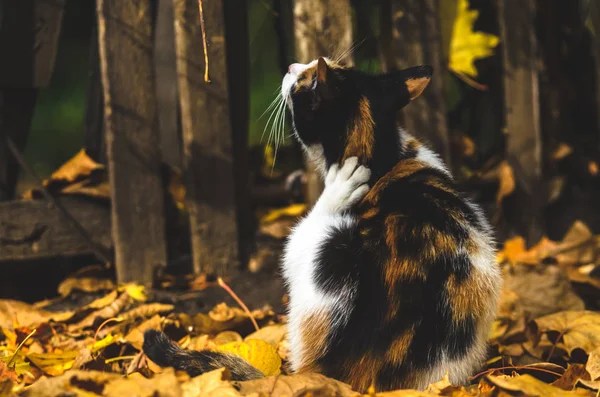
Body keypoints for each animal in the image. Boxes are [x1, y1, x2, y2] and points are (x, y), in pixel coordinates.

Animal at [142, 57, 502, 392]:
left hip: (324, 250)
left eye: (305, 80)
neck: (380, 155)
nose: (291, 64)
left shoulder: (301, 245)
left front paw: (340, 186)